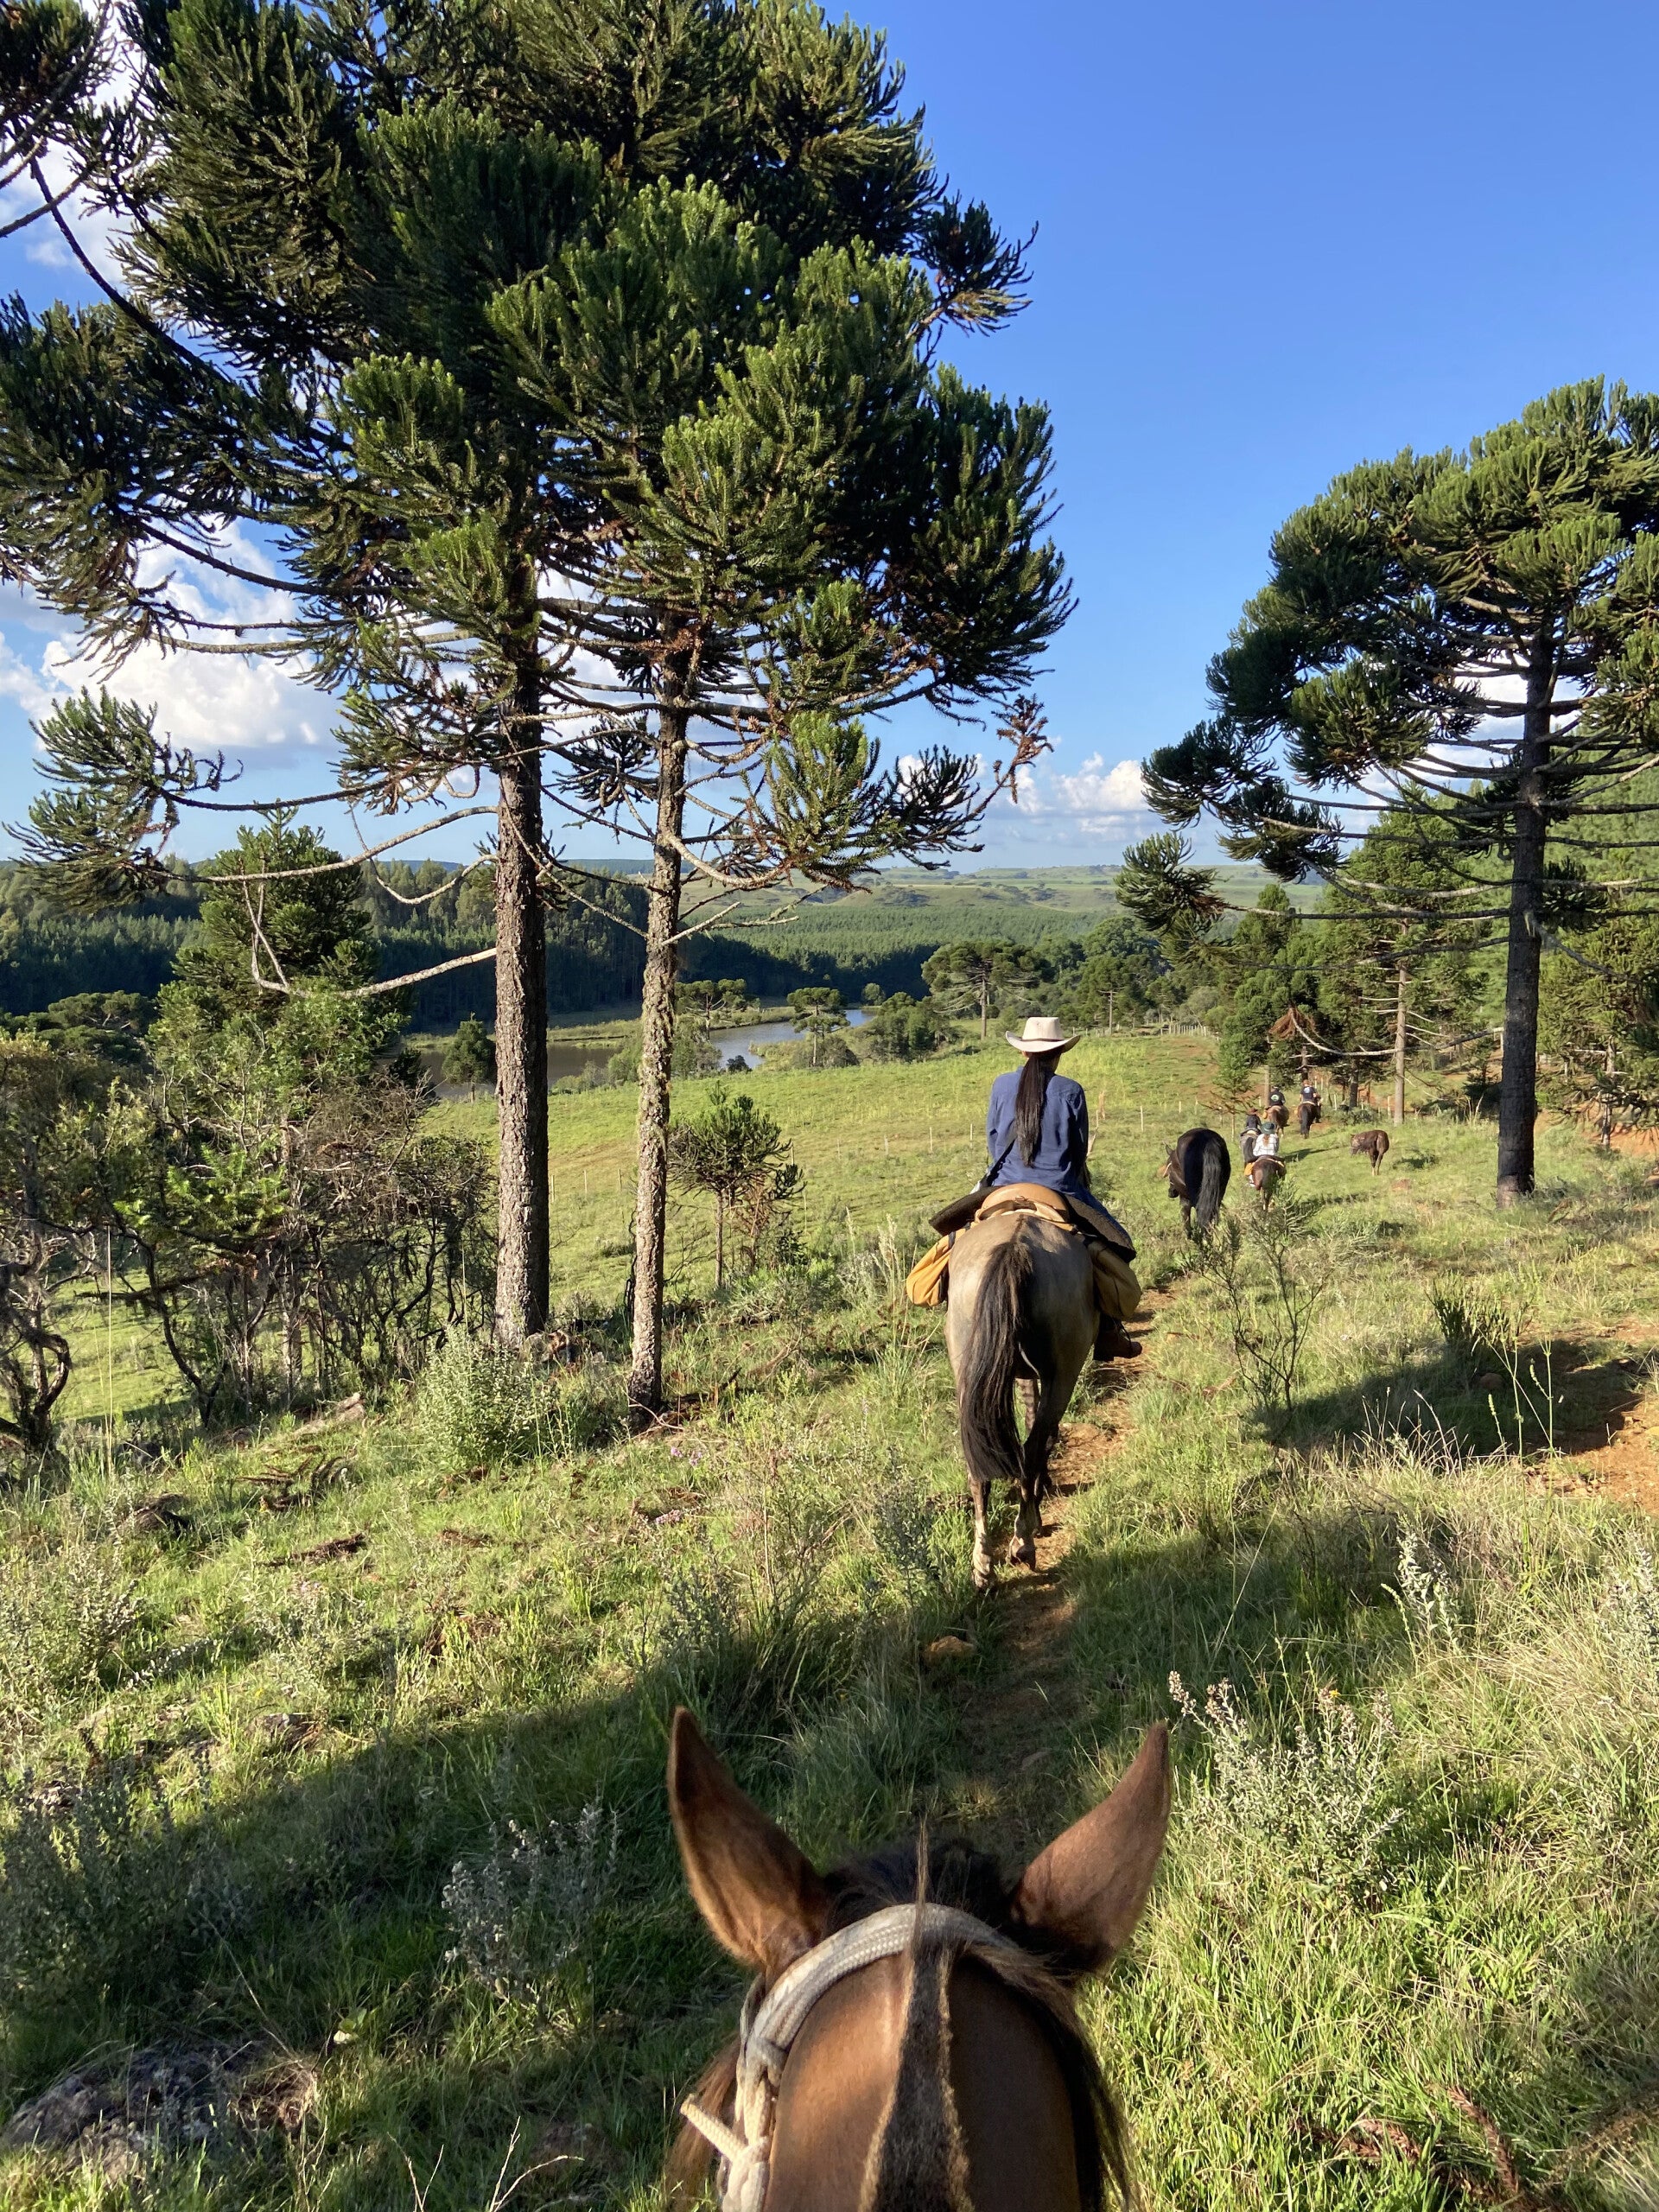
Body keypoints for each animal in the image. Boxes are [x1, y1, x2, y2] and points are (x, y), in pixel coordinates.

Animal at [944, 1211, 1095, 1590]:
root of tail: (1015, 1246)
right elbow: (1041, 1432)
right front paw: (1039, 1509)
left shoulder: (1024, 1373)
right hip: (1065, 1372)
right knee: (1034, 1445)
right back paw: (1024, 1541)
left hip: (968, 1368)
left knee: (978, 1465)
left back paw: (983, 1566)